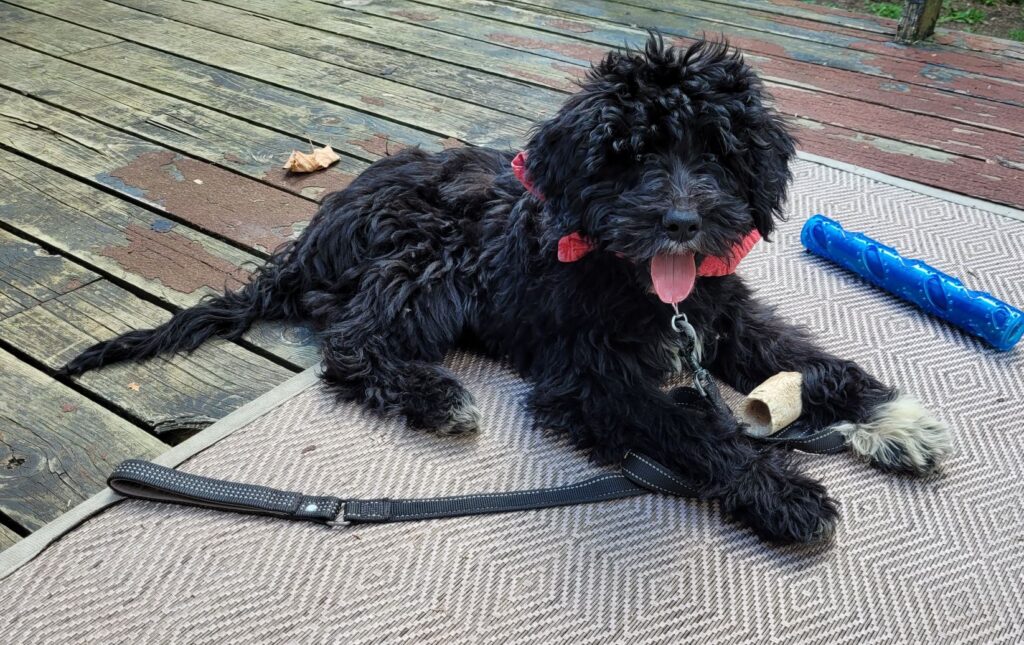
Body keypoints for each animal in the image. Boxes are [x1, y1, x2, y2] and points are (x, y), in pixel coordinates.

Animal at [64, 35, 946, 544]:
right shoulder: (584, 376)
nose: (682, 221)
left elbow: (807, 357)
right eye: (628, 155)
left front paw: (891, 418)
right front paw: (780, 487)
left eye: (717, 151)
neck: (635, 280)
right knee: (351, 343)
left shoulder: (722, 313)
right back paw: (437, 397)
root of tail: (313, 240)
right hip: (429, 264)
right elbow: (689, 425)